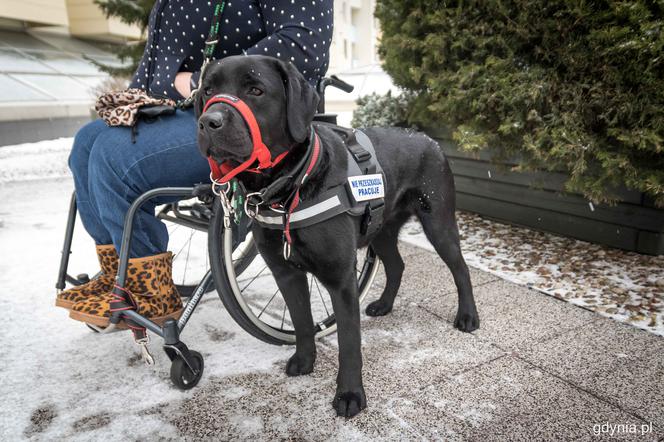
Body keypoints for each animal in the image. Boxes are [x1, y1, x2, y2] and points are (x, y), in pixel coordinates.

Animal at [195, 55, 480, 418]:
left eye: (255, 90)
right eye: (208, 90)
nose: (208, 122)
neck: (291, 187)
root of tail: (429, 139)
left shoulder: (341, 280)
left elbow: (348, 343)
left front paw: (350, 395)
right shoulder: (286, 274)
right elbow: (302, 323)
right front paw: (305, 360)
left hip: (438, 223)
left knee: (461, 269)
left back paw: (468, 316)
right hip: (381, 230)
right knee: (397, 265)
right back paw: (384, 304)